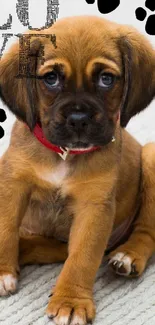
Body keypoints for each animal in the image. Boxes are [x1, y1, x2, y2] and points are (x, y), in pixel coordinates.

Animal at [0, 16, 155, 324]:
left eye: (106, 79)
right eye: (51, 78)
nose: (79, 119)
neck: (64, 155)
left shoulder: (93, 207)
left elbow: (82, 257)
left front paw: (71, 301)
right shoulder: (12, 183)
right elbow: (4, 228)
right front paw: (3, 270)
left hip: (152, 156)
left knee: (146, 231)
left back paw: (129, 255)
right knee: (49, 247)